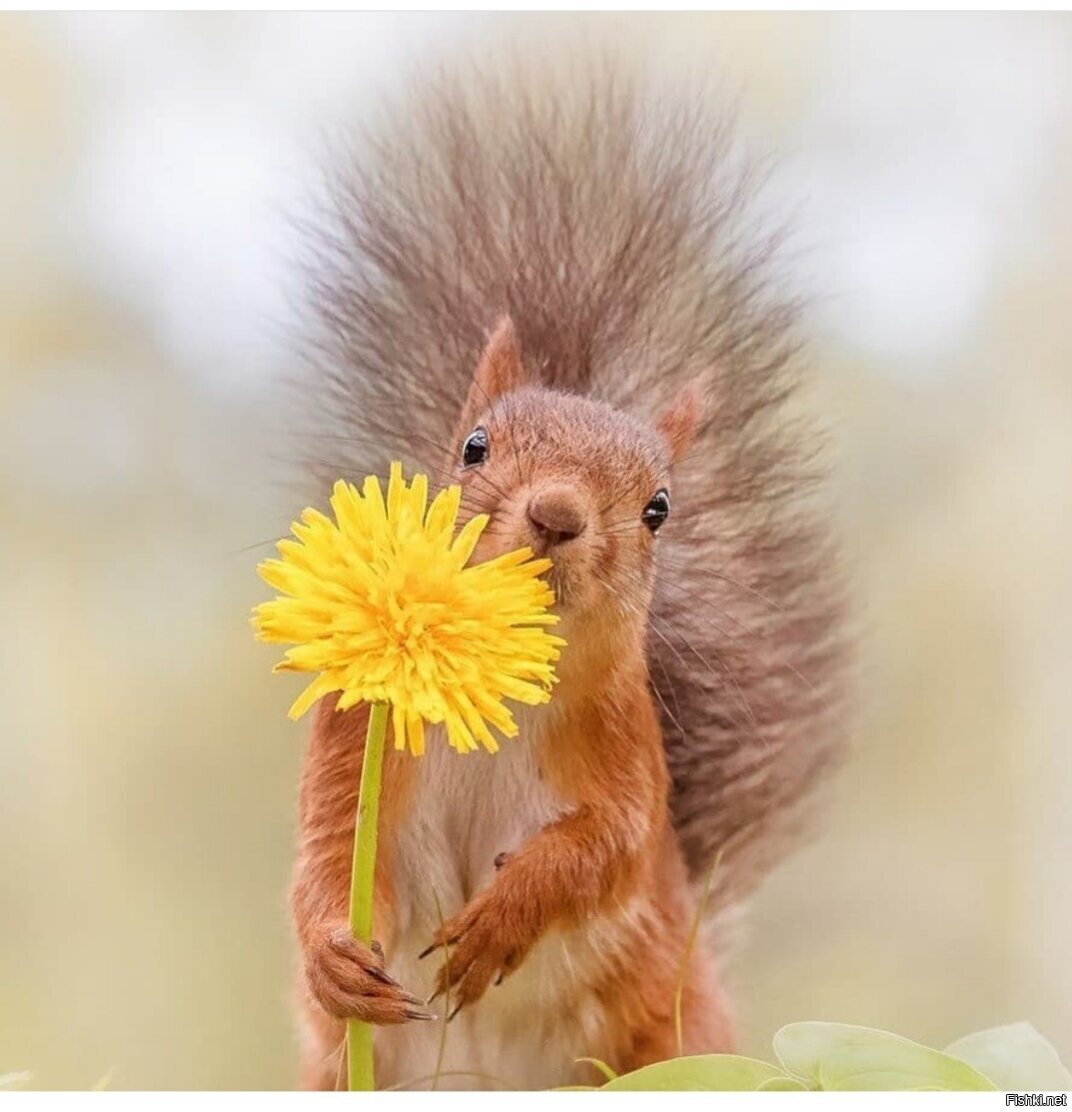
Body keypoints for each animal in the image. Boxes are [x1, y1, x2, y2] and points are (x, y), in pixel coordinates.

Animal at [284, 58, 845, 1085]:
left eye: (660, 507)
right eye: (472, 446)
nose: (556, 515)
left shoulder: (625, 750)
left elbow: (603, 850)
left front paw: (504, 919)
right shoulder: (356, 735)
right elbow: (330, 851)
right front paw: (331, 957)